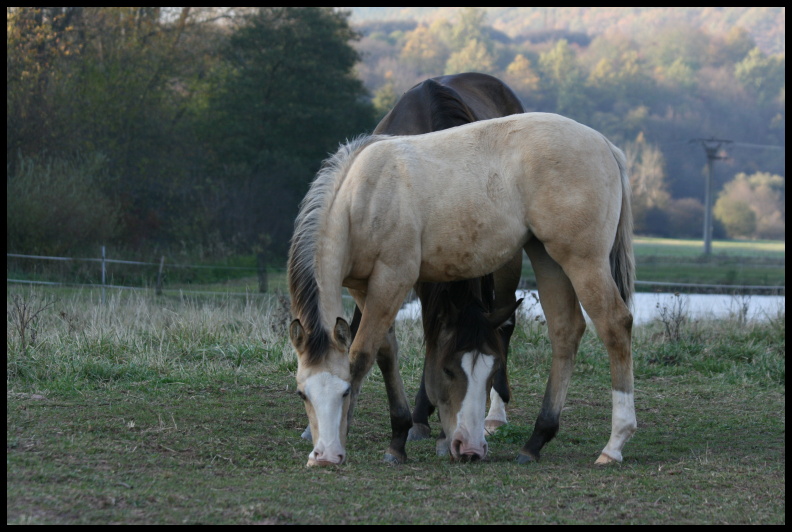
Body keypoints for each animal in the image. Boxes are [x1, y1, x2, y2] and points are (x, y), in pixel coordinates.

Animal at [288, 112, 636, 466]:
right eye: (302, 393)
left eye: (343, 391)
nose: (323, 455)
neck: (365, 197)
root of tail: (605, 145)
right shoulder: (364, 287)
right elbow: (385, 351)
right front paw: (397, 438)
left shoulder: (392, 279)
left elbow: (361, 356)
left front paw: (344, 436)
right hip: (547, 257)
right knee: (566, 330)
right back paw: (536, 440)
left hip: (583, 261)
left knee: (614, 325)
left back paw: (615, 444)